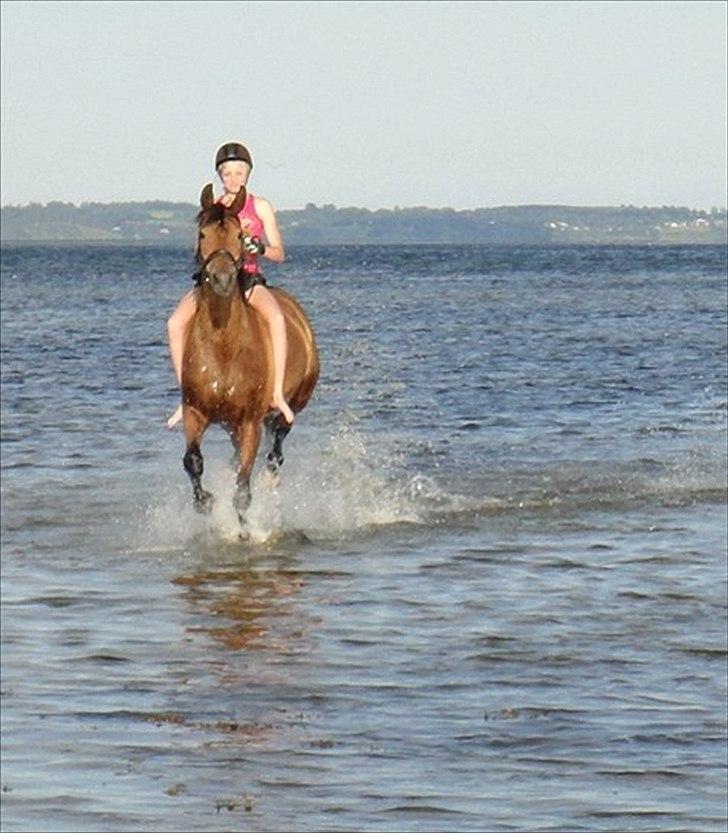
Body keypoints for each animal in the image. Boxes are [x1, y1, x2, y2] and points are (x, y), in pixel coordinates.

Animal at [180, 185, 318, 528]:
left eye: (240, 234)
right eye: (202, 234)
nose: (221, 279)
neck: (224, 346)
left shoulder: (250, 422)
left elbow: (243, 488)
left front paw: (244, 532)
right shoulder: (194, 412)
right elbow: (193, 461)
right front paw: (205, 502)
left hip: (290, 406)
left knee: (276, 450)